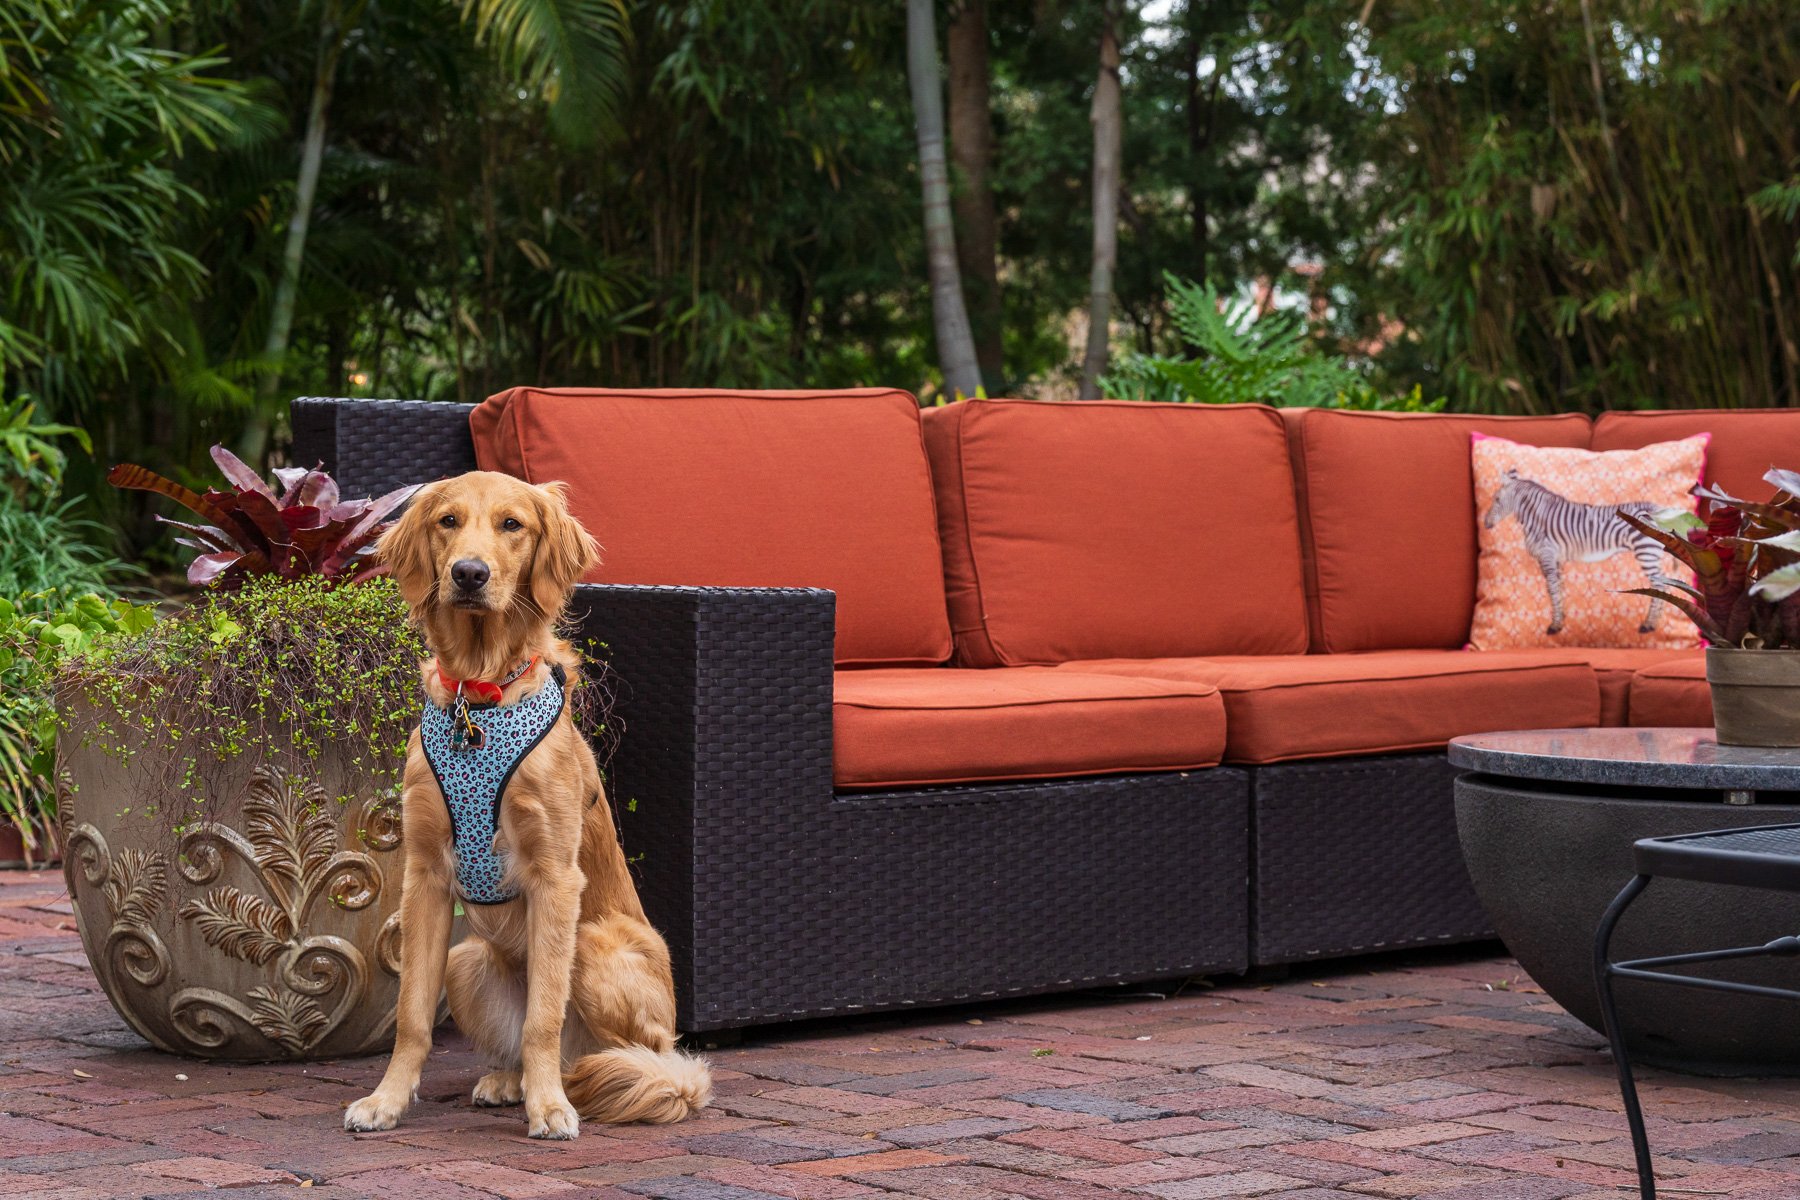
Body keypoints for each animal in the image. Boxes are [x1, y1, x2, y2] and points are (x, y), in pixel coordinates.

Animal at [343, 471, 709, 1144]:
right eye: (448, 521)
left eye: (512, 525)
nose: (468, 574)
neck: (479, 696)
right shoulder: (425, 875)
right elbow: (412, 1016)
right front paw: (387, 1100)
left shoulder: (555, 877)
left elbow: (543, 1016)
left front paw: (550, 1109)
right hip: (467, 959)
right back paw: (513, 1082)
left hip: (595, 945)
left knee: (636, 1057)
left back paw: (577, 1085)